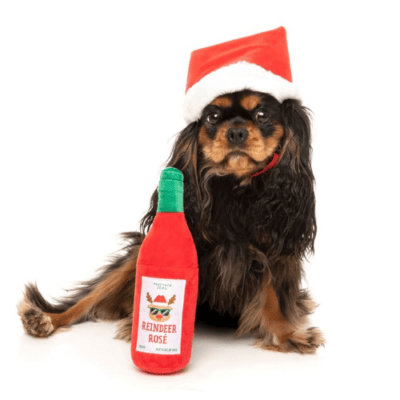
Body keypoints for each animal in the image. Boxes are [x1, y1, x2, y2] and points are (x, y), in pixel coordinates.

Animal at [18, 89, 325, 354]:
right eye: (213, 117)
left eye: (262, 115)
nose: (236, 132)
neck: (236, 190)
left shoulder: (274, 247)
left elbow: (273, 295)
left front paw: (287, 334)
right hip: (132, 258)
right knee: (86, 300)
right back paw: (47, 318)